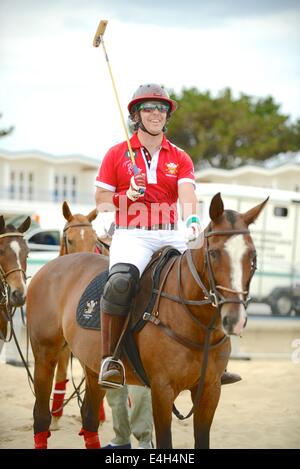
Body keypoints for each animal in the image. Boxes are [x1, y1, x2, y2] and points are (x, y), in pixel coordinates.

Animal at [25, 192, 268, 448]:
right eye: (214, 253)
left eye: (253, 256)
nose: (234, 318)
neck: (197, 323)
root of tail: (48, 267)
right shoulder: (162, 390)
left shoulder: (210, 390)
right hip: (45, 355)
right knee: (41, 415)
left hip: (91, 366)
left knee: (89, 417)